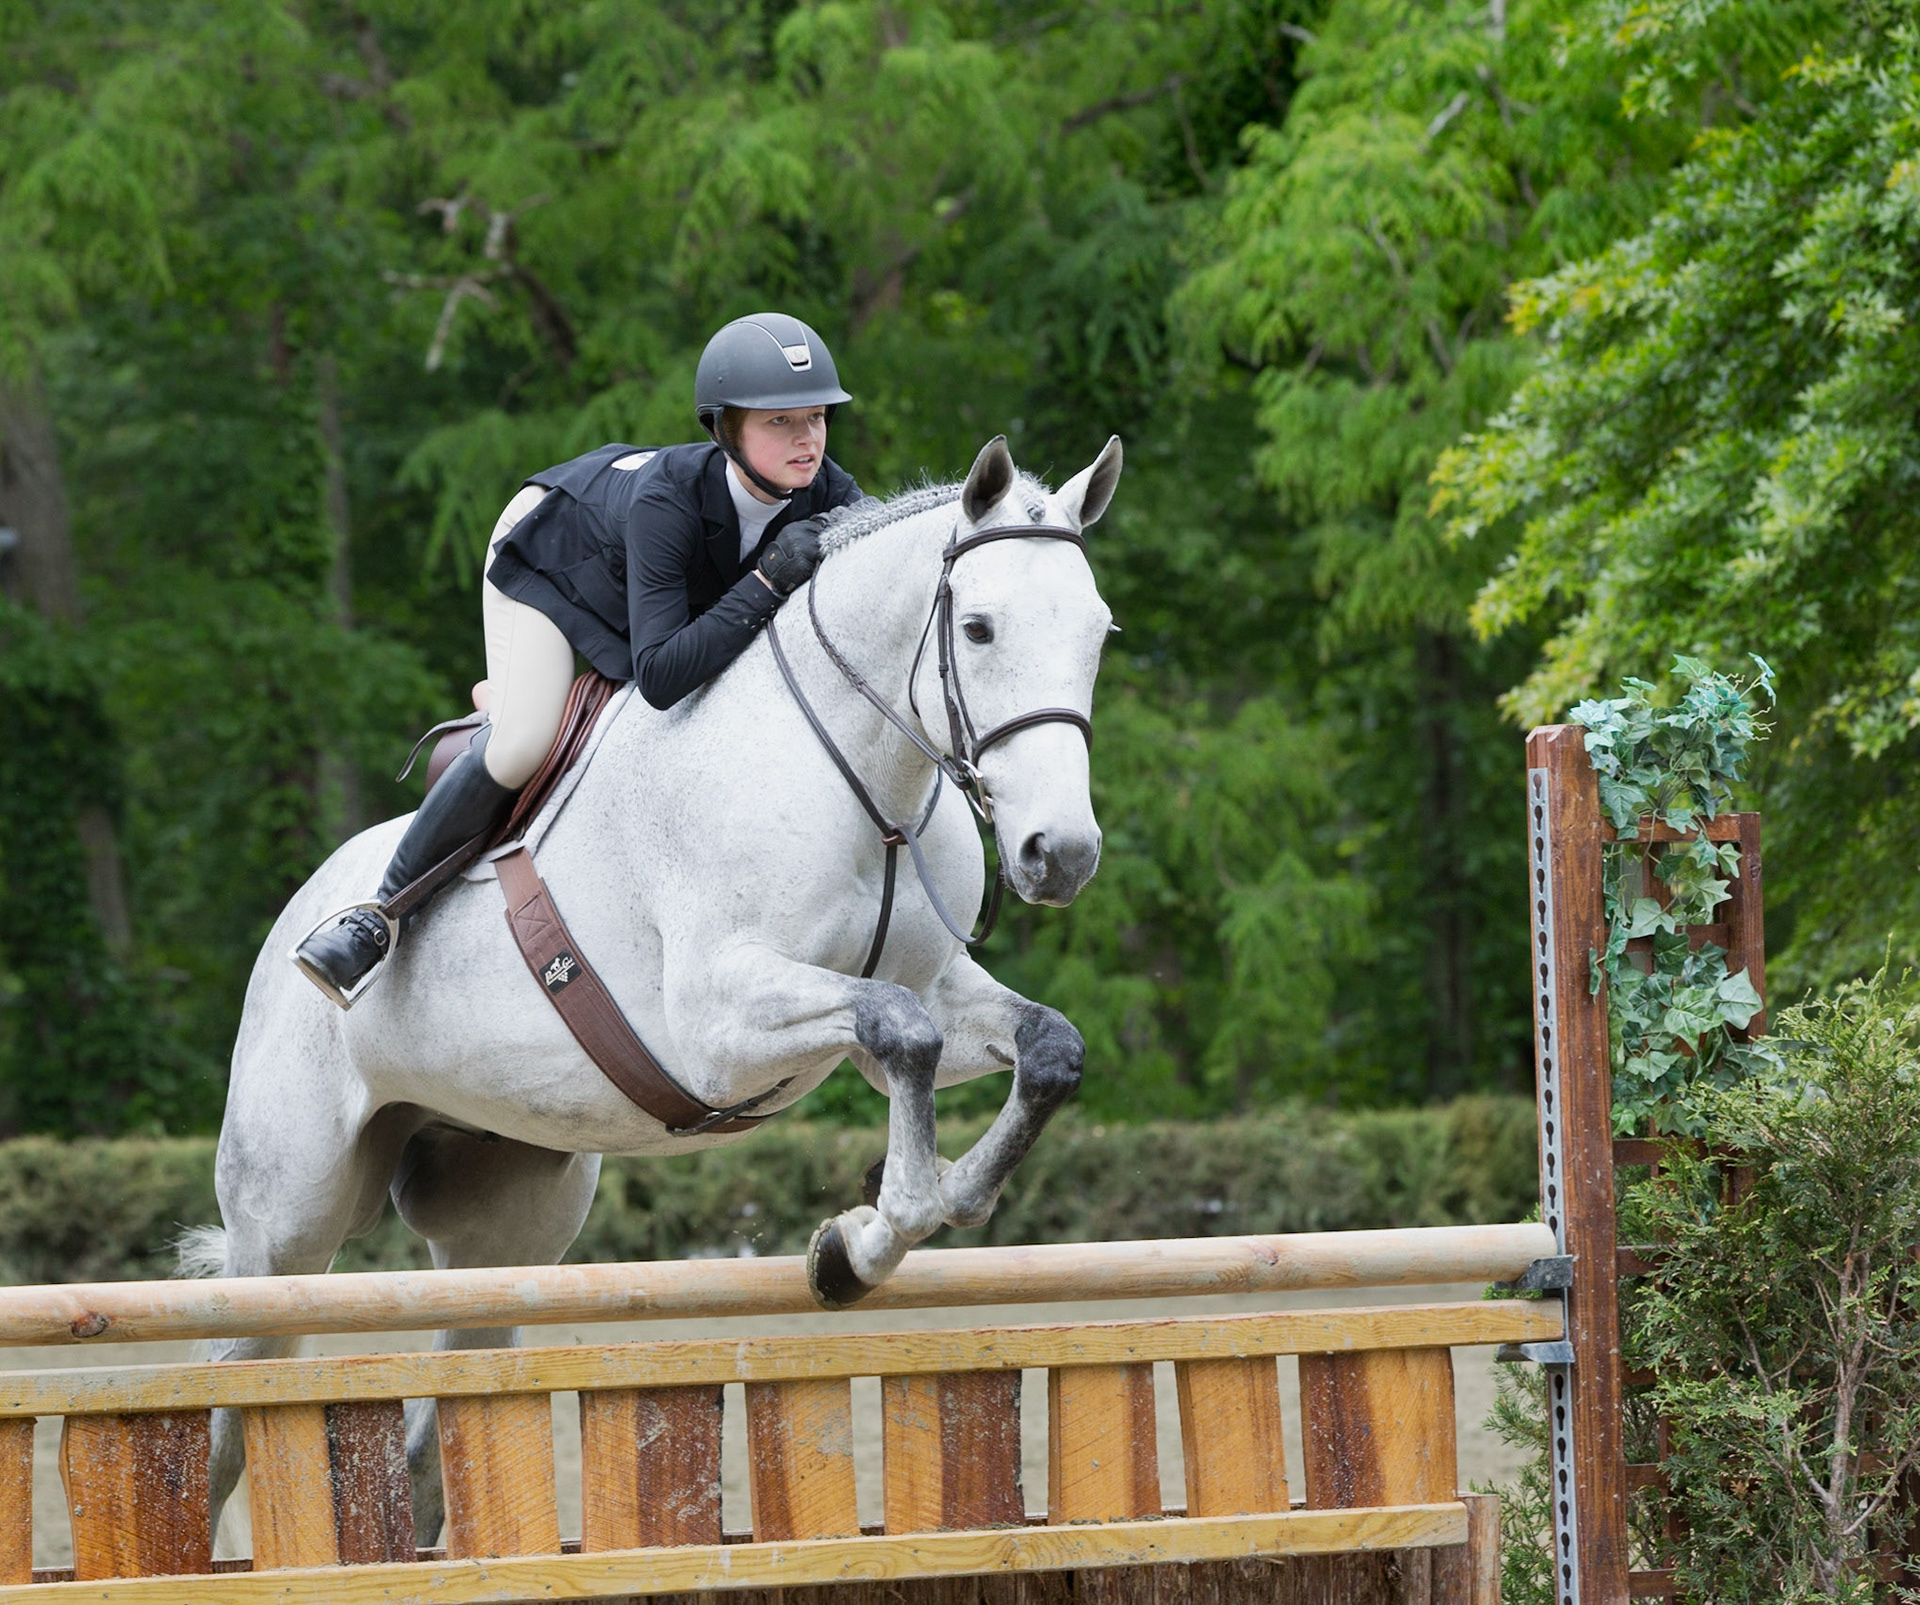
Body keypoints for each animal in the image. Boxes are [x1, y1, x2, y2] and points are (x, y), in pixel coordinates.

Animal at [192, 433, 1121, 1541]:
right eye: (977, 628)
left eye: (1099, 632)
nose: (1060, 855)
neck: (863, 774)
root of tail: (302, 909)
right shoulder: (718, 1029)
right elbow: (902, 1035)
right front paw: (868, 1236)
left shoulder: (933, 986)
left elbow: (1043, 1049)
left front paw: (914, 1213)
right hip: (286, 1223)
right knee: (225, 1411)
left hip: (505, 1231)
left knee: (433, 1433)